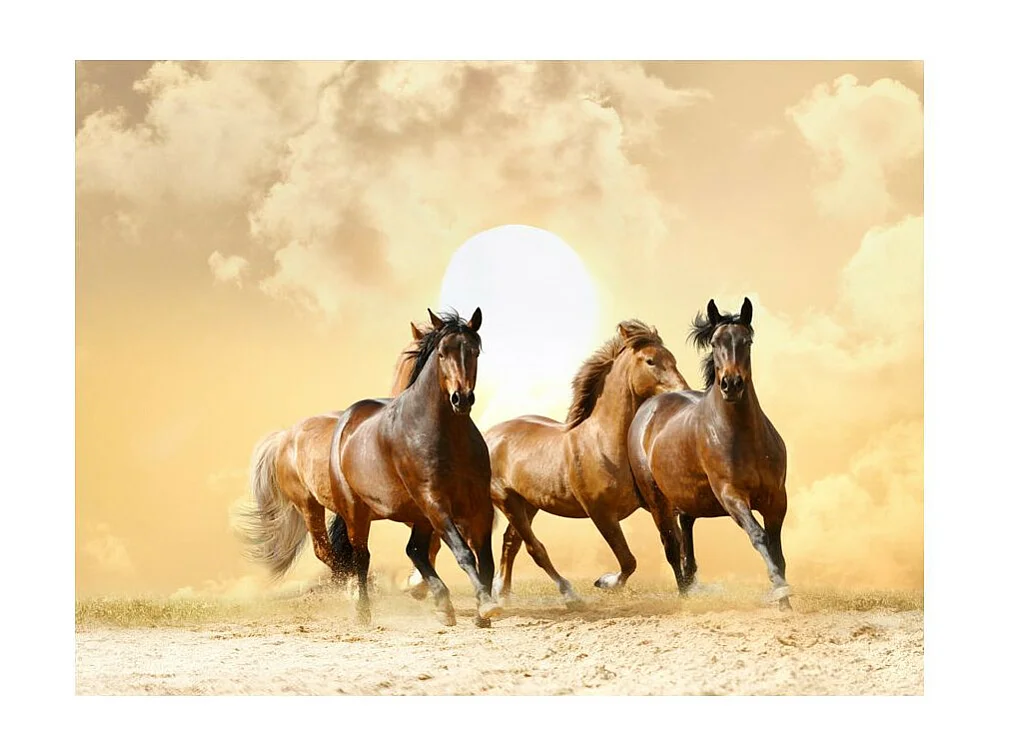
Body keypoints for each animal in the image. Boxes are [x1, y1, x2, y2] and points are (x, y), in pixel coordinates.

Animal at [482, 320, 689, 607]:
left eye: (673, 359)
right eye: (650, 361)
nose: (682, 391)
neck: (603, 442)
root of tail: (489, 436)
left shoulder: (653, 505)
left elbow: (673, 545)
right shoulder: (600, 513)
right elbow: (628, 560)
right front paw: (605, 582)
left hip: (529, 504)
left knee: (511, 543)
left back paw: (503, 593)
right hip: (508, 500)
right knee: (535, 548)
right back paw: (569, 594)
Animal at [627, 298, 792, 610]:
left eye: (747, 341)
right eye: (715, 342)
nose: (731, 384)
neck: (743, 437)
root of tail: (648, 408)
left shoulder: (776, 498)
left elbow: (777, 549)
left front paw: (785, 603)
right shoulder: (731, 495)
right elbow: (759, 536)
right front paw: (780, 590)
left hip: (687, 498)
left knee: (686, 537)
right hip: (657, 501)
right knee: (671, 546)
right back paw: (684, 598)